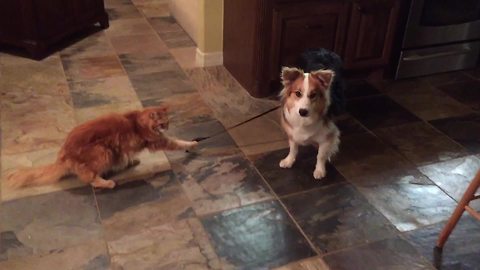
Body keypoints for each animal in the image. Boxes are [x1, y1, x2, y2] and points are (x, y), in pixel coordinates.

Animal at [6, 105, 197, 188]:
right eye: (163, 124)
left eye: (168, 123)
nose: (167, 127)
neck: (137, 121)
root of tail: (63, 155)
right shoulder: (159, 141)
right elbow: (178, 142)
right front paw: (193, 144)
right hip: (102, 151)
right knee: (90, 179)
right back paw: (108, 182)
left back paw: (130, 162)